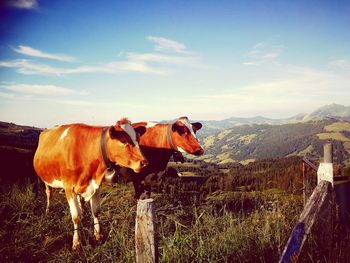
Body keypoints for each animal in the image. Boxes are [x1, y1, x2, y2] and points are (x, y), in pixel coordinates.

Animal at [32, 118, 146, 251]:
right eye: (123, 141)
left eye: (138, 139)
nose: (144, 162)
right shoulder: (69, 188)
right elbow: (75, 216)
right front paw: (76, 242)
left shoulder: (96, 185)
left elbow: (96, 211)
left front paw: (98, 235)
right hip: (46, 180)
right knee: (49, 194)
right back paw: (48, 210)